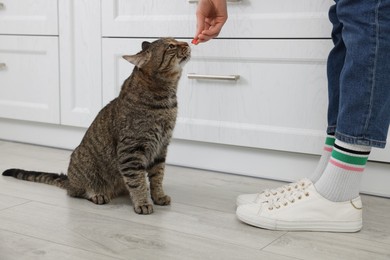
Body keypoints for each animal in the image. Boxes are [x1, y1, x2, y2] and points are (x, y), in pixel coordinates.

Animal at [2, 37, 191, 214]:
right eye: (171, 46)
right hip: (84, 166)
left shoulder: (161, 147)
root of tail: (69, 180)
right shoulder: (131, 150)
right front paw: (143, 202)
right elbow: (137, 181)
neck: (166, 101)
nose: (187, 43)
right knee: (76, 192)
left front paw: (158, 196)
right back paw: (97, 194)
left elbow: (157, 176)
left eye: (176, 40)